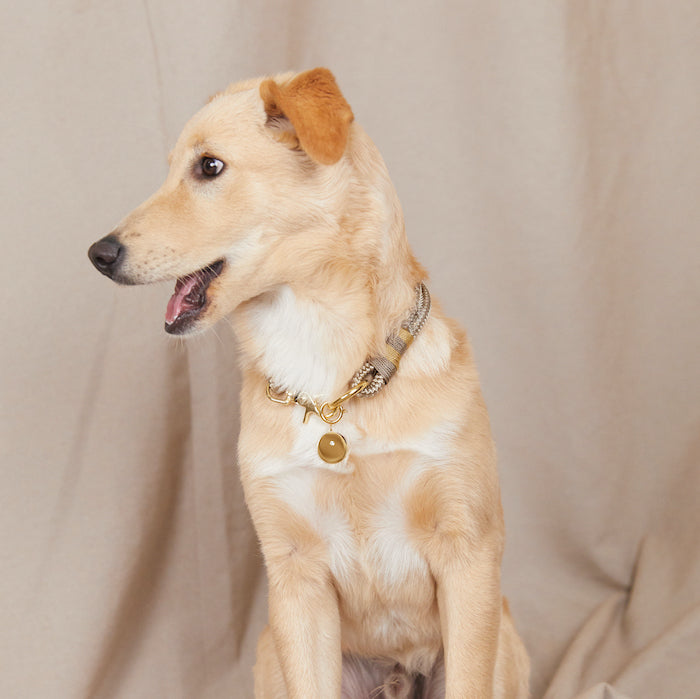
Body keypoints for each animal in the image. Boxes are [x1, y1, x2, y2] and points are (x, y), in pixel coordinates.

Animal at [88, 68, 529, 698]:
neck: (332, 380)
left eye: (209, 167)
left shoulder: (467, 555)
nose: (98, 253)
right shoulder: (295, 574)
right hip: (269, 650)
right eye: (171, 167)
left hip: (506, 639)